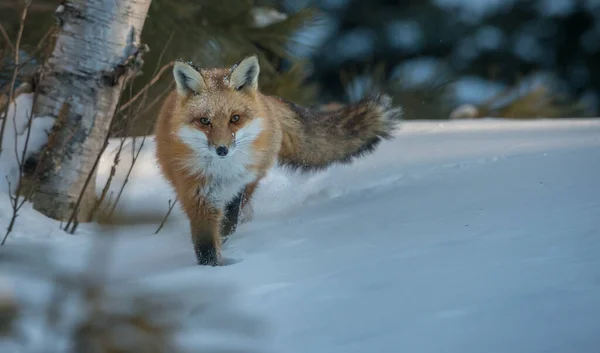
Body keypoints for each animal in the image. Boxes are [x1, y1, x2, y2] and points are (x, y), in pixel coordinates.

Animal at [154, 54, 404, 264]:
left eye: (235, 118)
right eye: (205, 121)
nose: (222, 150)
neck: (222, 171)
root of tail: (266, 99)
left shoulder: (239, 184)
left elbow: (228, 222)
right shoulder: (197, 193)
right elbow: (205, 243)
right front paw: (210, 268)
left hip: (256, 174)